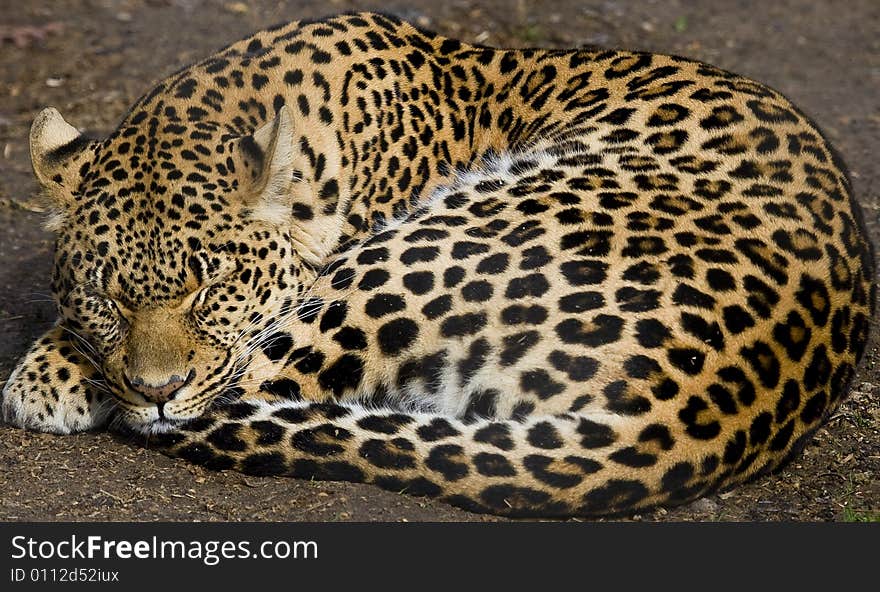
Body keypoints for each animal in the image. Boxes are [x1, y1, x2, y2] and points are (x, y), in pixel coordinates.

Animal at [3, 11, 876, 516]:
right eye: (104, 296)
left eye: (212, 287)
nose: (156, 391)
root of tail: (691, 415)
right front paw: (62, 365)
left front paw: (49, 380)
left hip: (416, 252)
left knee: (269, 379)